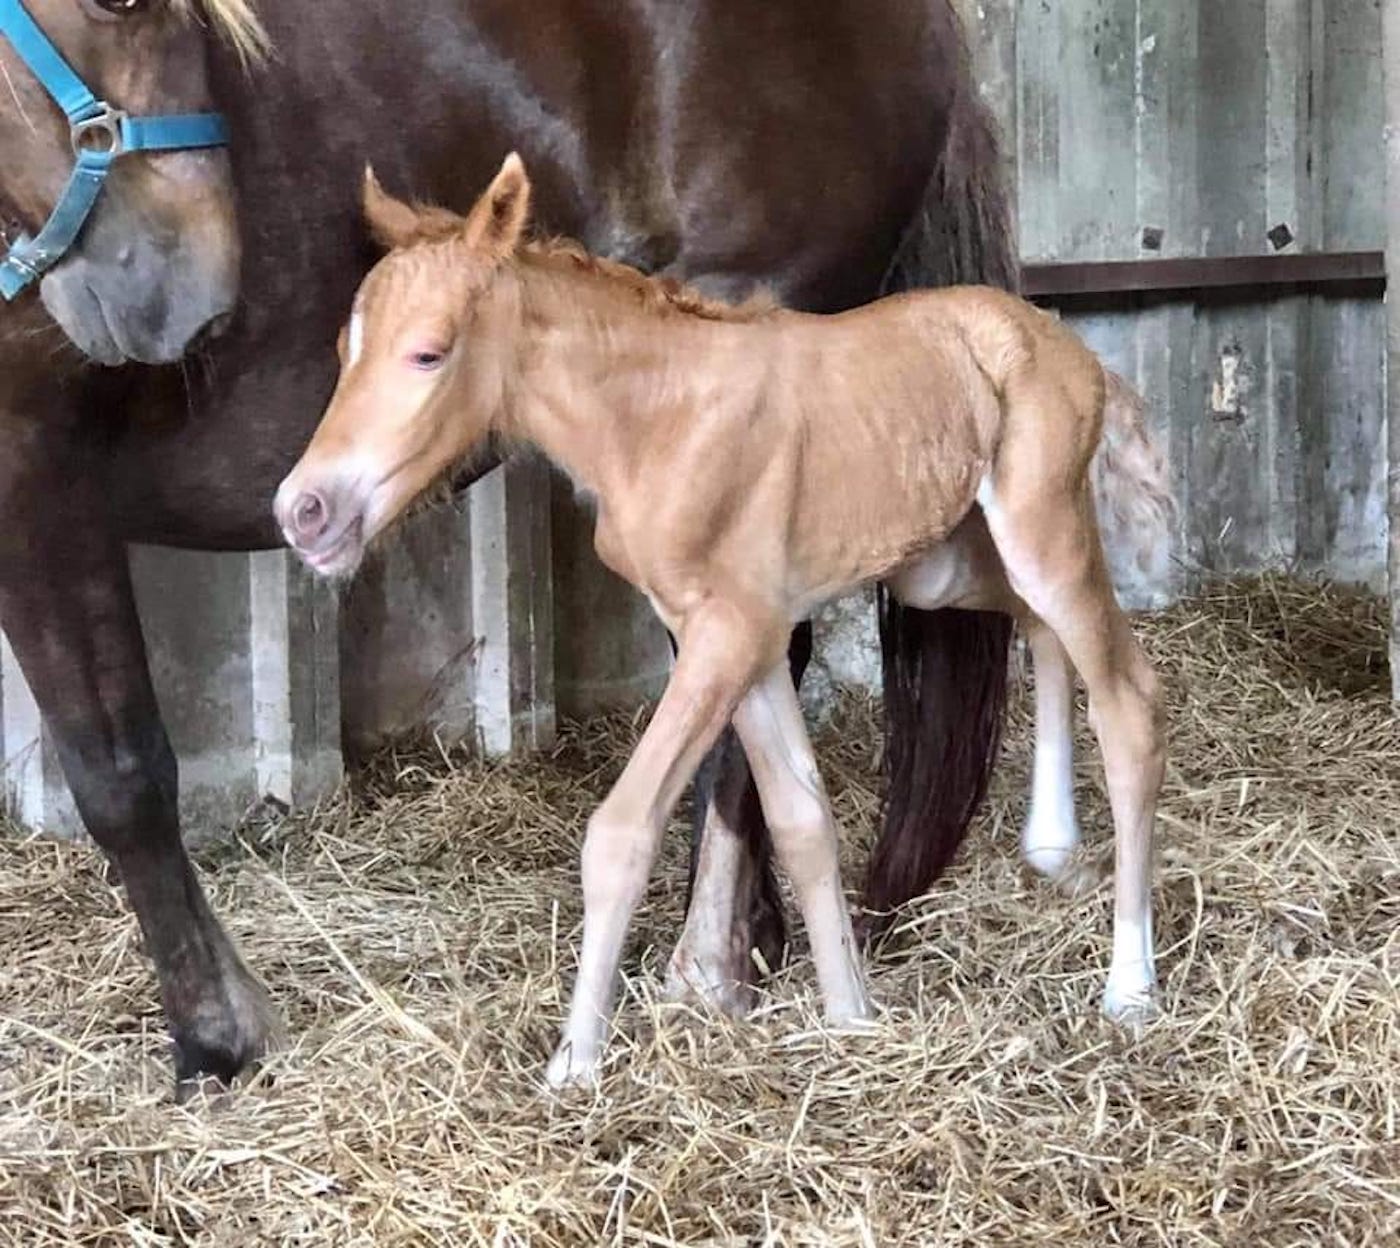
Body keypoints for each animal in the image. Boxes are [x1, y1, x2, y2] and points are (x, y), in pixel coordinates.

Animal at [1, 0, 1018, 1097]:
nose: (179, 303)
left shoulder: (36, 484)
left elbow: (121, 773)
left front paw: (215, 1037)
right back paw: (749, 939)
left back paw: (706, 963)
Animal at [276, 155, 1174, 1086]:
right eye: (345, 351)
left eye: (429, 352)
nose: (303, 512)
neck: (658, 422)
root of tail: (1068, 344)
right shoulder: (755, 638)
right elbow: (802, 820)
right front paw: (850, 1017)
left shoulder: (725, 636)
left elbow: (622, 831)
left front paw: (574, 1065)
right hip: (948, 566)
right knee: (1039, 628)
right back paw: (1052, 847)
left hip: (1041, 527)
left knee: (1130, 702)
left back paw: (1131, 989)